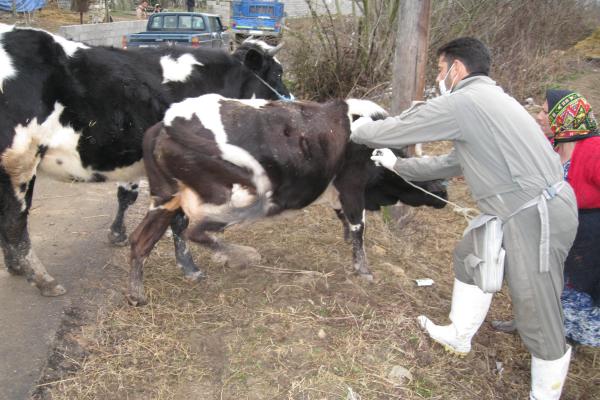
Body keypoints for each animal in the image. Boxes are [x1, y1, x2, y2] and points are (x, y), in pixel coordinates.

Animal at [0, 24, 290, 296]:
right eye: (277, 74)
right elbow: (180, 221)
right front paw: (190, 268)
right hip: (19, 160)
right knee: (14, 222)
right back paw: (42, 280)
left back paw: (16, 267)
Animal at [126, 94, 448, 305]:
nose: (444, 195)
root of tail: (165, 125)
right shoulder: (352, 187)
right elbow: (358, 228)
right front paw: (364, 271)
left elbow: (345, 222)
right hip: (238, 197)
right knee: (194, 230)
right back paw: (240, 254)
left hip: (166, 197)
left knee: (142, 239)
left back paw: (143, 292)